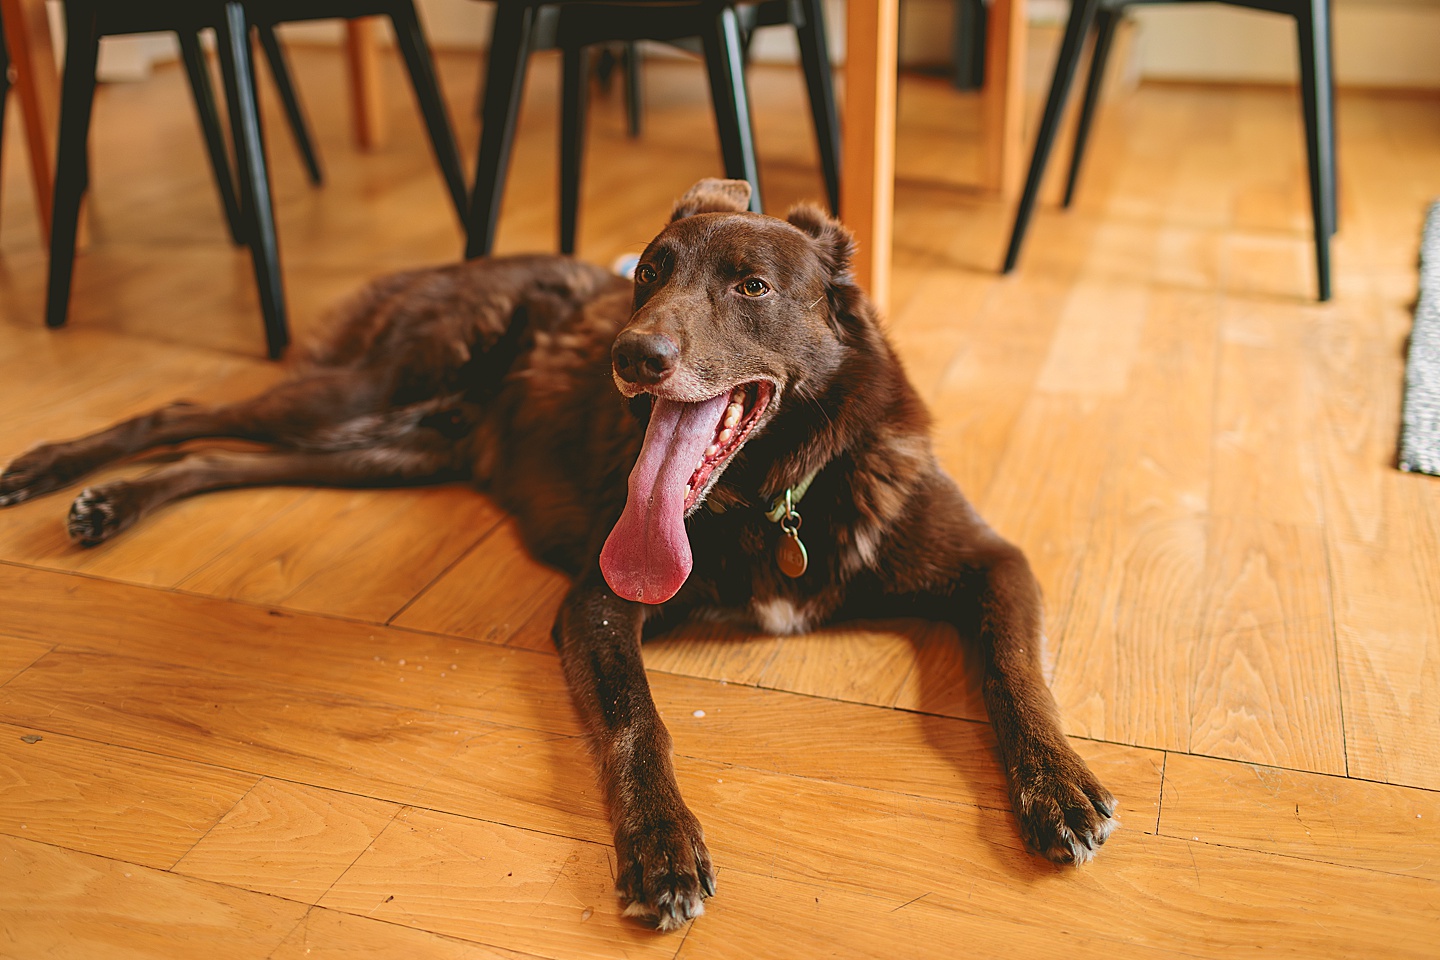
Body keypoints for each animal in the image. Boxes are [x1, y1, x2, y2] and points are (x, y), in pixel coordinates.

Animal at [2, 179, 1111, 932]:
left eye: (751, 286)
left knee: (217, 454)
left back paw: (109, 498)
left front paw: (1055, 784)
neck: (782, 493)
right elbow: (636, 723)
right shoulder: (598, 604)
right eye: (650, 274)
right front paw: (661, 845)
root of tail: (464, 261)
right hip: (357, 400)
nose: (633, 357)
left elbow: (1015, 673)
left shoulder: (994, 561)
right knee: (183, 412)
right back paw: (65, 475)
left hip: (387, 448)